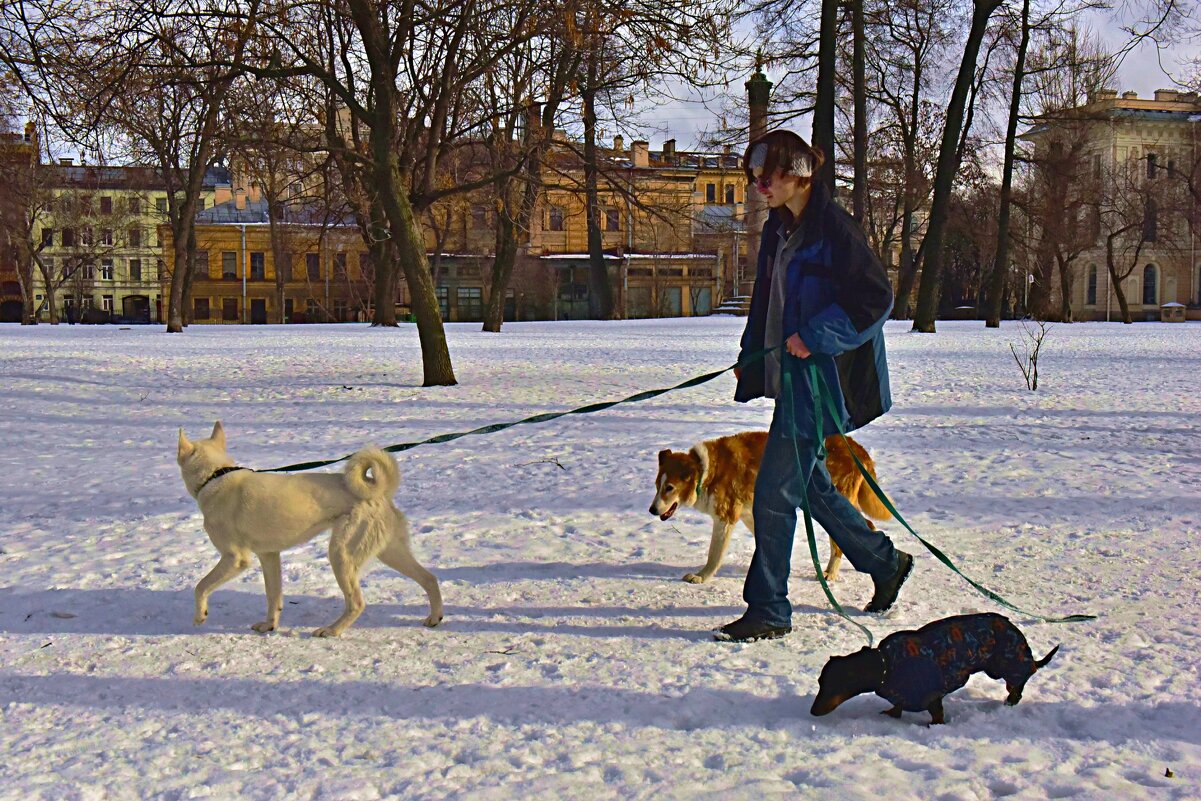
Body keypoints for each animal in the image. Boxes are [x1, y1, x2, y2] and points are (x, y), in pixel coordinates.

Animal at [175, 420, 444, 638]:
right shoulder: (269, 556)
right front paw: (269, 625)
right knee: (429, 579)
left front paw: (200, 615)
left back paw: (332, 630)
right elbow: (273, 596)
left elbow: (200, 586)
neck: (215, 475)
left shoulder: (235, 558)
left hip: (341, 555)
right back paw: (434, 617)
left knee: (357, 603)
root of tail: (380, 492)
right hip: (390, 552)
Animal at [648, 432, 893, 583]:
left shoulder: (726, 517)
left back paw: (832, 573)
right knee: (865, 526)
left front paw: (702, 576)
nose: (652, 510)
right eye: (657, 485)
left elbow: (714, 555)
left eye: (669, 488)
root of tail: (857, 448)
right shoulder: (749, 513)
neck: (706, 471)